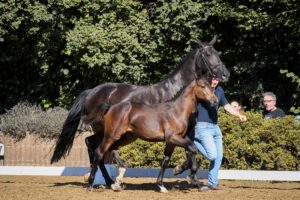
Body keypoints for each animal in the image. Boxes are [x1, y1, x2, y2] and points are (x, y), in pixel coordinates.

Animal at [88, 78, 217, 192]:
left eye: (211, 86)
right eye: (202, 86)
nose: (215, 100)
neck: (177, 111)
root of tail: (111, 107)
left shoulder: (171, 142)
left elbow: (165, 161)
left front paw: (161, 185)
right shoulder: (173, 138)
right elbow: (193, 148)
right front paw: (187, 175)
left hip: (127, 137)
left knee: (112, 149)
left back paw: (117, 180)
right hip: (111, 135)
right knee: (99, 153)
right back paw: (91, 185)